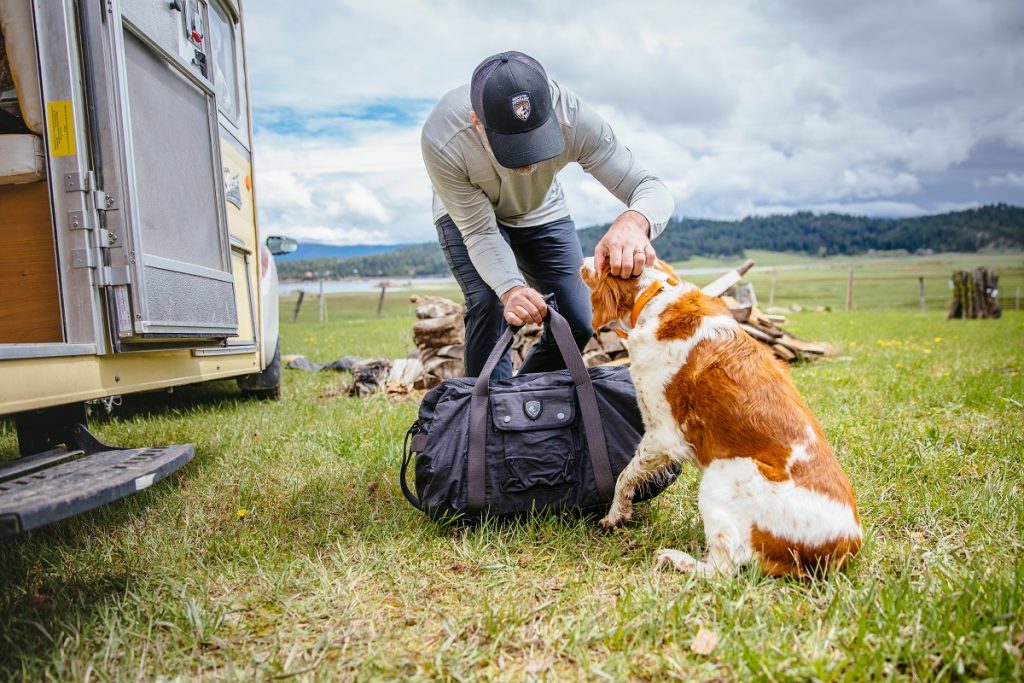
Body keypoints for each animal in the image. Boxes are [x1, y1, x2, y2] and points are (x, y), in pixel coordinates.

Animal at [581, 259, 860, 581]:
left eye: (599, 259)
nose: (581, 262)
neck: (657, 297)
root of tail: (845, 546)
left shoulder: (663, 433)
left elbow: (624, 476)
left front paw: (615, 514)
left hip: (724, 473)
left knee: (723, 568)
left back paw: (676, 559)